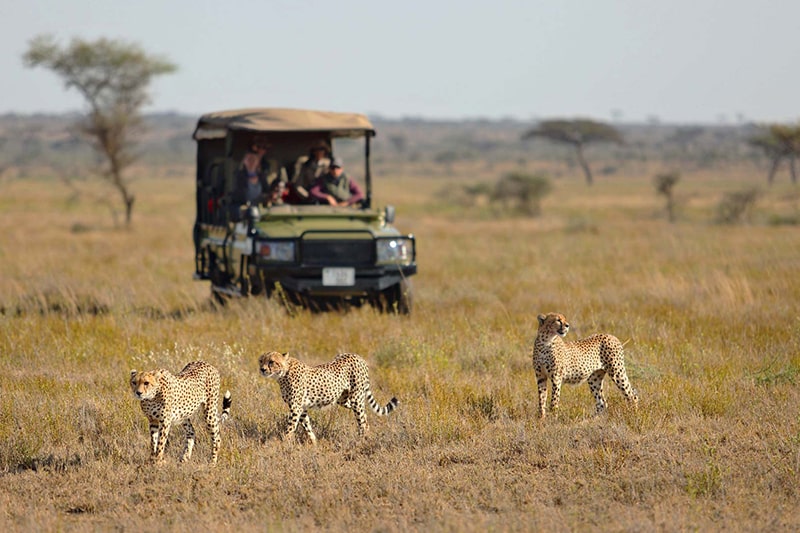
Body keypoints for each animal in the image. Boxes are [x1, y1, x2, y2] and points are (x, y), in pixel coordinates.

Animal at [260, 352, 398, 442]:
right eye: (261, 361)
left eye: (271, 362)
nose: (262, 369)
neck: (283, 373)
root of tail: (357, 356)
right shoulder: (301, 408)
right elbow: (307, 426)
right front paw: (314, 443)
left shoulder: (296, 407)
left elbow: (290, 427)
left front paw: (284, 443)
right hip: (343, 400)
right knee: (364, 415)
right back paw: (366, 433)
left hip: (356, 398)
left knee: (361, 419)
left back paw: (362, 439)